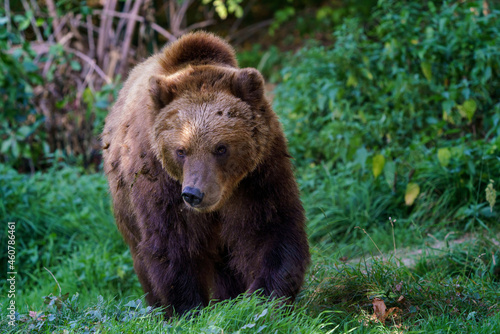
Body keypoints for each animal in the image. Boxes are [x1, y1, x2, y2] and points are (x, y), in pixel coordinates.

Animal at [101, 31, 308, 316]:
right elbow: (173, 243)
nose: (194, 194)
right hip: (127, 211)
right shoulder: (159, 181)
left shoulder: (259, 174)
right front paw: (188, 308)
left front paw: (265, 297)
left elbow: (271, 228)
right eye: (181, 150)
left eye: (221, 148)